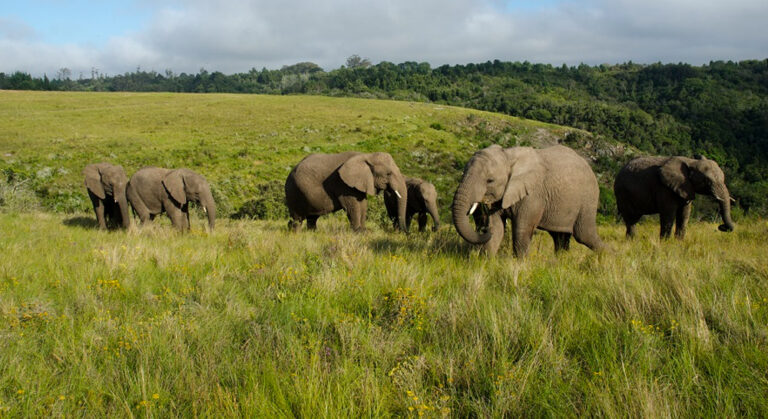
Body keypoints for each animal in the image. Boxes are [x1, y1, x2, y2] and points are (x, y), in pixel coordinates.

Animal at [452, 144, 604, 257]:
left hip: (588, 198)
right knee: (560, 238)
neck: (508, 156)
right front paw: (485, 262)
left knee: (584, 235)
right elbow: (497, 226)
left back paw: (607, 258)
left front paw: (519, 266)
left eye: (490, 180)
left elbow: (521, 230)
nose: (483, 229)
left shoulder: (533, 195)